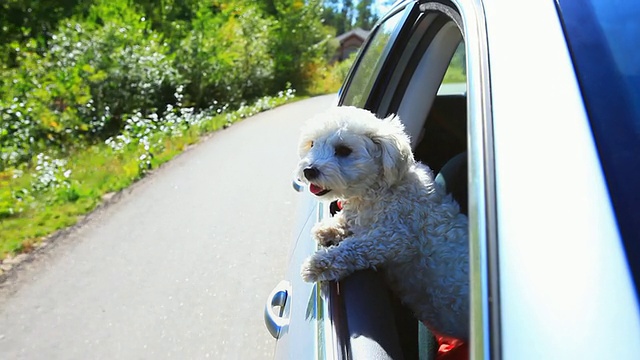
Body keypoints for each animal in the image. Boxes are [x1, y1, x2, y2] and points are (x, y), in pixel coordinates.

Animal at [296, 106, 470, 340]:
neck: (379, 190)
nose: (309, 170)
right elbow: (349, 222)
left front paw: (318, 264)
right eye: (312, 144)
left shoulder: (397, 237)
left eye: (343, 150)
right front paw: (328, 227)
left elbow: (356, 247)